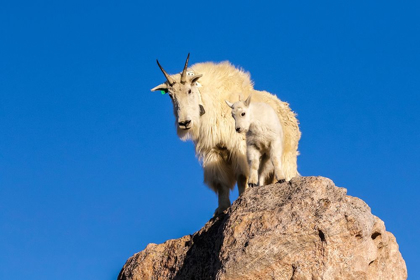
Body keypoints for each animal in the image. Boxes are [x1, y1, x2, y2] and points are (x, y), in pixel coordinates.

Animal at [150, 54, 298, 214]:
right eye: (171, 95)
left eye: (189, 90)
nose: (184, 122)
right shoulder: (214, 149)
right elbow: (221, 182)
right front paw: (221, 208)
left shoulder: (239, 145)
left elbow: (242, 175)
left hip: (286, 156)